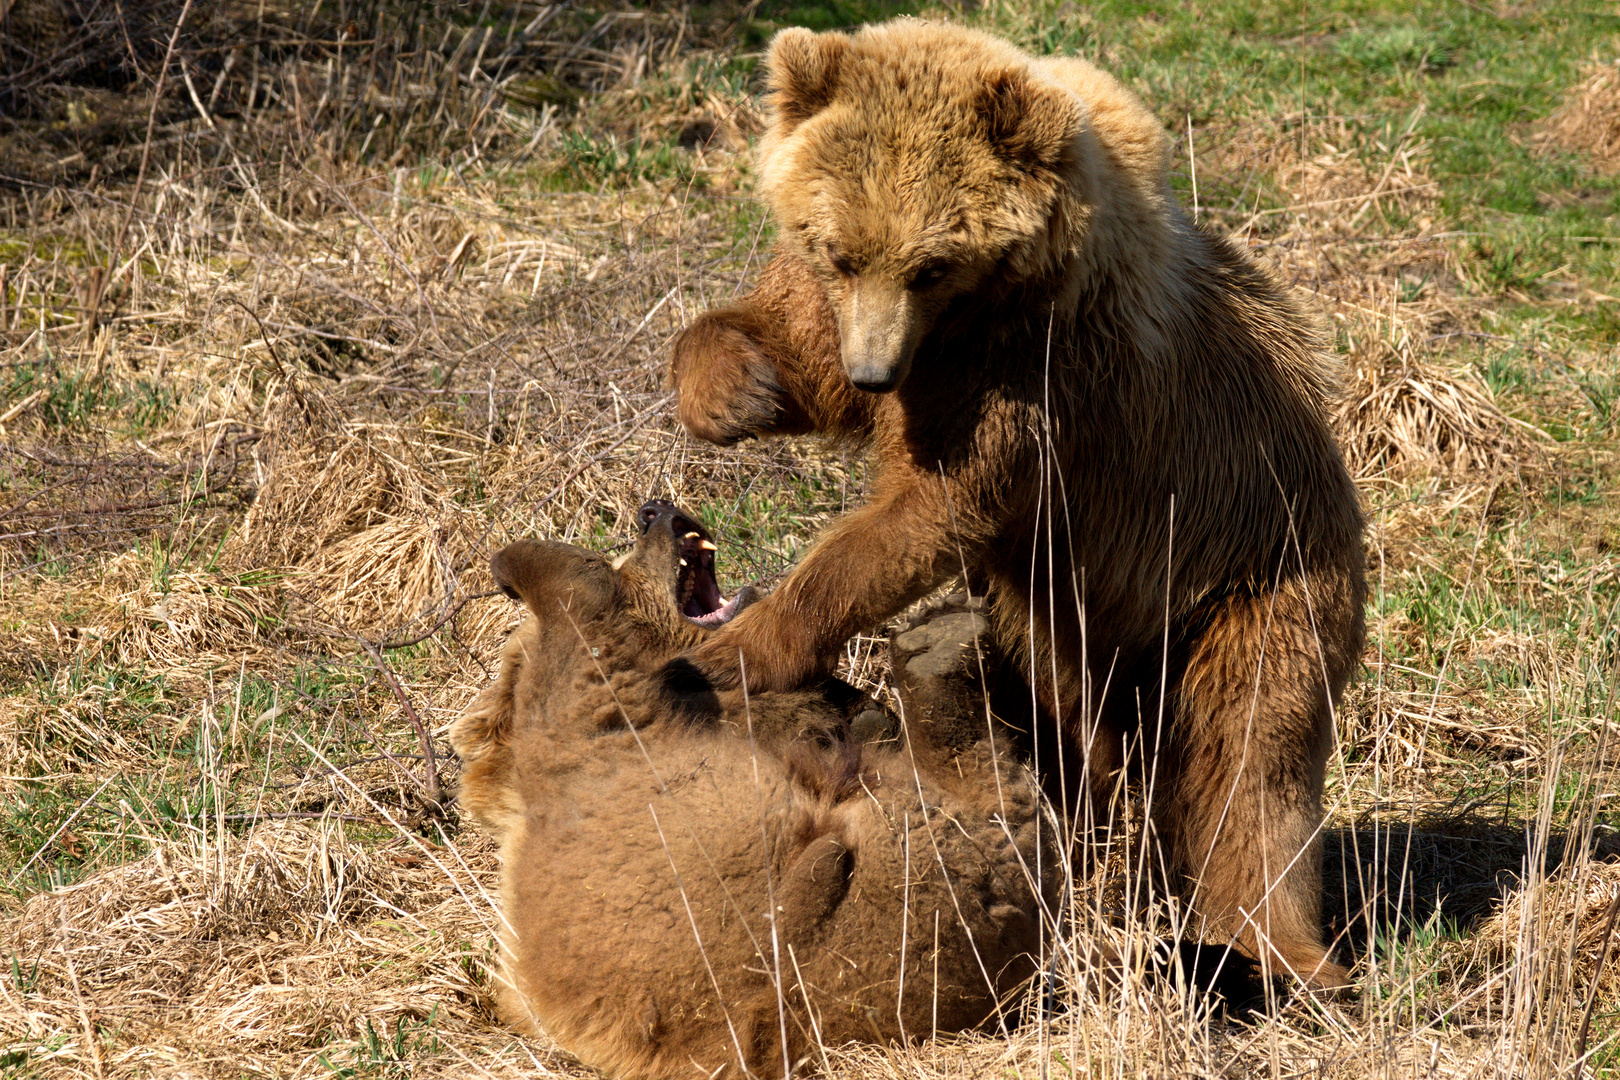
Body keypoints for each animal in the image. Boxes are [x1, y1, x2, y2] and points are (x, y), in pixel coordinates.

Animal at [450, 501, 1056, 1080]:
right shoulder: (603, 737)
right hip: (826, 929)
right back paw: (939, 653)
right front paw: (522, 565)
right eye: (629, 560)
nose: (654, 511)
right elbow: (578, 628)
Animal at [670, 21, 1367, 990]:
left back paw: (1277, 950)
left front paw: (741, 643)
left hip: (1257, 572)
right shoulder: (860, 321)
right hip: (1059, 620)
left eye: (931, 265)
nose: (872, 371)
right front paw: (735, 390)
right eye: (841, 249)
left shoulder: (1035, 374)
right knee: (1081, 726)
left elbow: (928, 510)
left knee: (1249, 756)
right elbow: (789, 342)